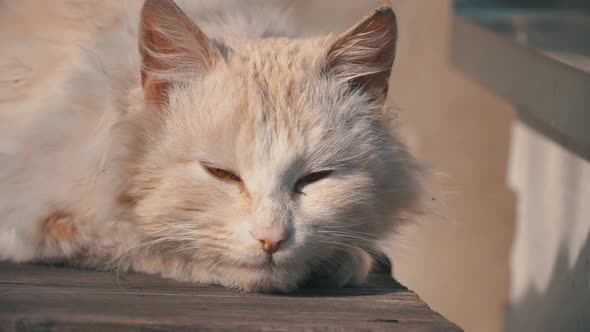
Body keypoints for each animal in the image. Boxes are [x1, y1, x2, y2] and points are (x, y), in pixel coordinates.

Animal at [0, 0, 426, 290]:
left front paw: (347, 258)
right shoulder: (36, 221)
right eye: (221, 174)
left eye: (314, 178)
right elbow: (146, 242)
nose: (272, 240)